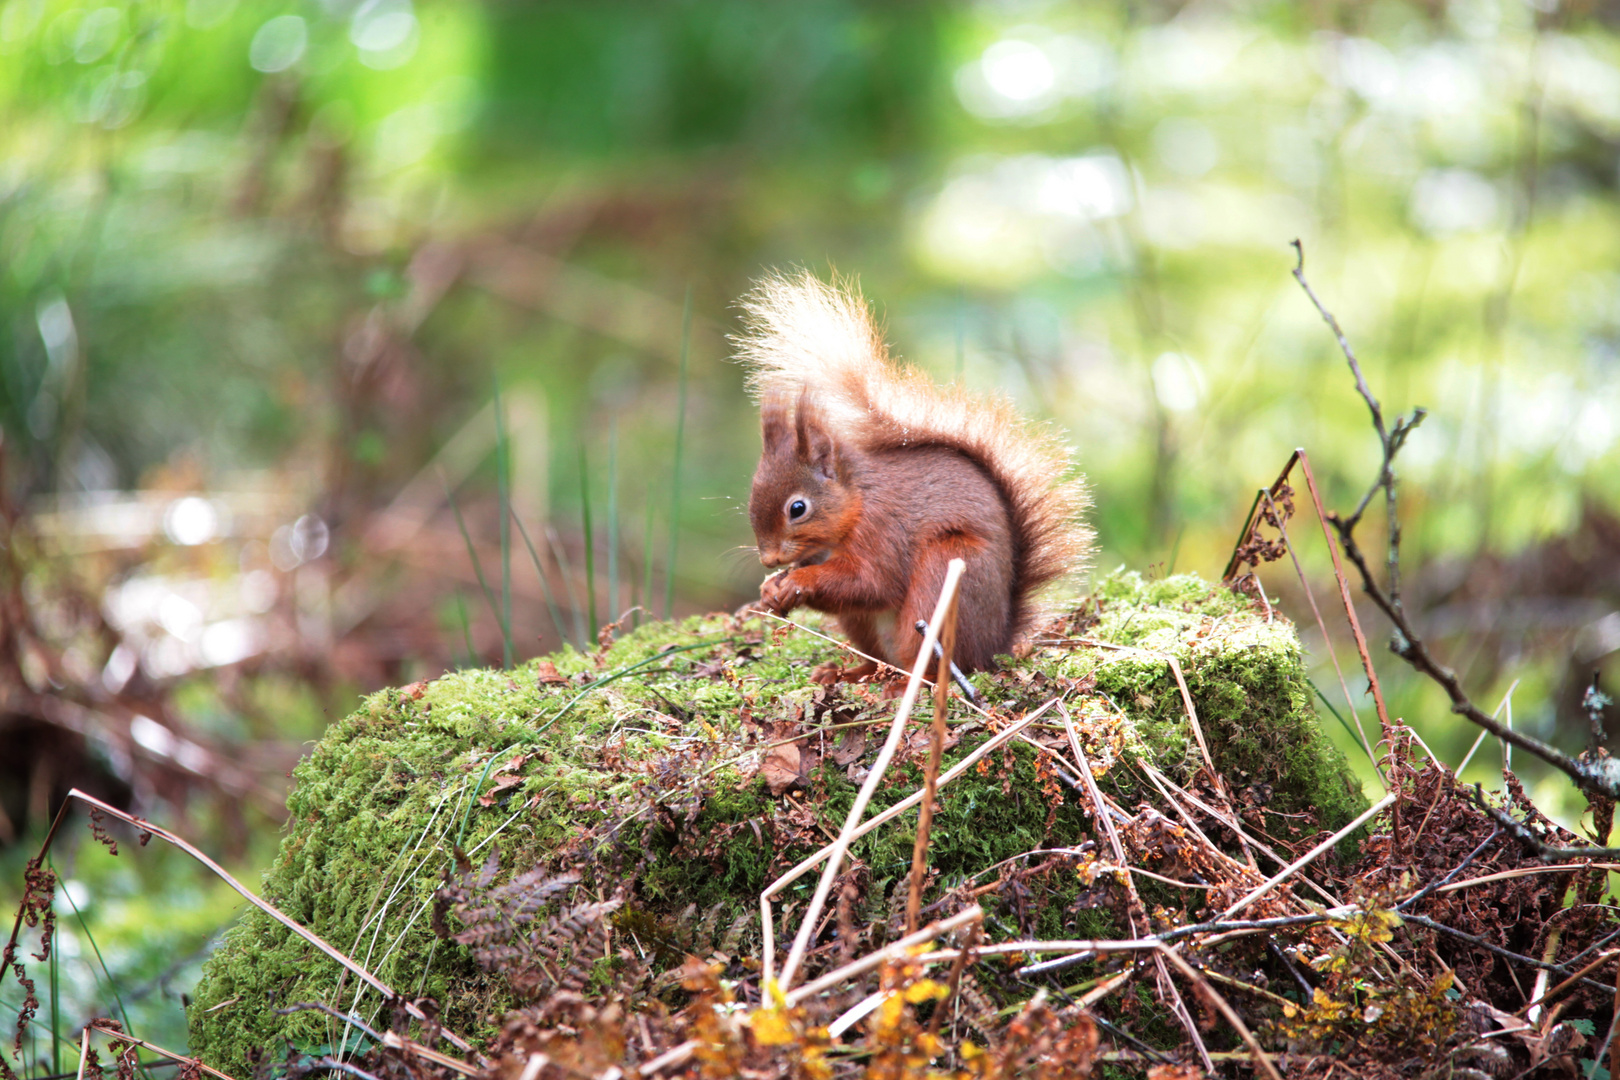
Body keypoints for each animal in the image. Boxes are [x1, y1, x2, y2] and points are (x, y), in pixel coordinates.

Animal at [741, 275, 1095, 689]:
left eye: (797, 508)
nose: (769, 560)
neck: (858, 501)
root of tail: (995, 645)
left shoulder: (883, 530)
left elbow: (871, 582)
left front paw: (796, 581)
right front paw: (770, 590)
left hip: (945, 577)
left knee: (932, 664)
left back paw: (902, 685)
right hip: (865, 625)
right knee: (877, 659)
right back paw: (848, 673)